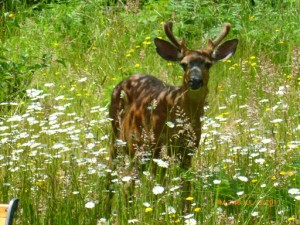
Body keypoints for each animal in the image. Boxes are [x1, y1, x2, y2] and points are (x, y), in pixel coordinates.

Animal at [107, 22, 237, 214]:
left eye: (208, 64)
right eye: (183, 64)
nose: (195, 81)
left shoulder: (188, 150)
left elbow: (186, 187)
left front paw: (185, 213)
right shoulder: (158, 146)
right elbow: (159, 186)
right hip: (120, 135)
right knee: (114, 176)